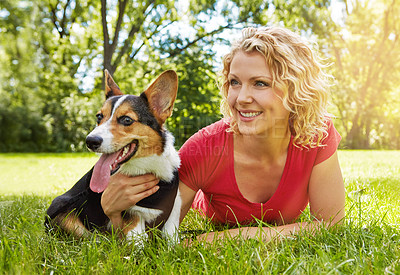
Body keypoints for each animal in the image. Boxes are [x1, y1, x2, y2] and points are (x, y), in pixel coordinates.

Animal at [45, 70, 181, 245]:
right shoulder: (132, 215)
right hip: (63, 208)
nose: (90, 141)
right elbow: (139, 241)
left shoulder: (173, 214)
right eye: (99, 117)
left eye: (127, 120)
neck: (148, 166)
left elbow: (172, 240)